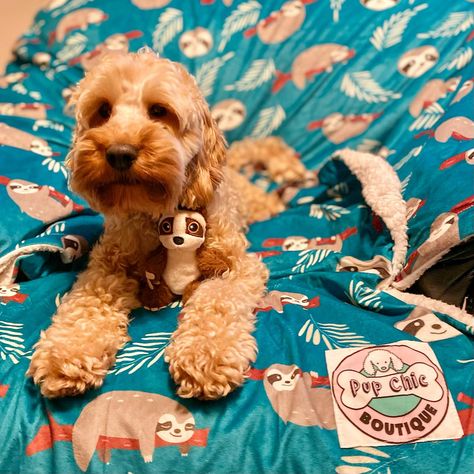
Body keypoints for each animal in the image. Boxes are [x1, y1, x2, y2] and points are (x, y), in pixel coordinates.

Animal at [26, 50, 308, 400]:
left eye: (159, 111)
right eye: (103, 111)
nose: (119, 153)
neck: (155, 209)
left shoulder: (235, 267)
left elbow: (217, 302)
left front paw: (206, 354)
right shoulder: (107, 268)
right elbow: (87, 304)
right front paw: (69, 350)